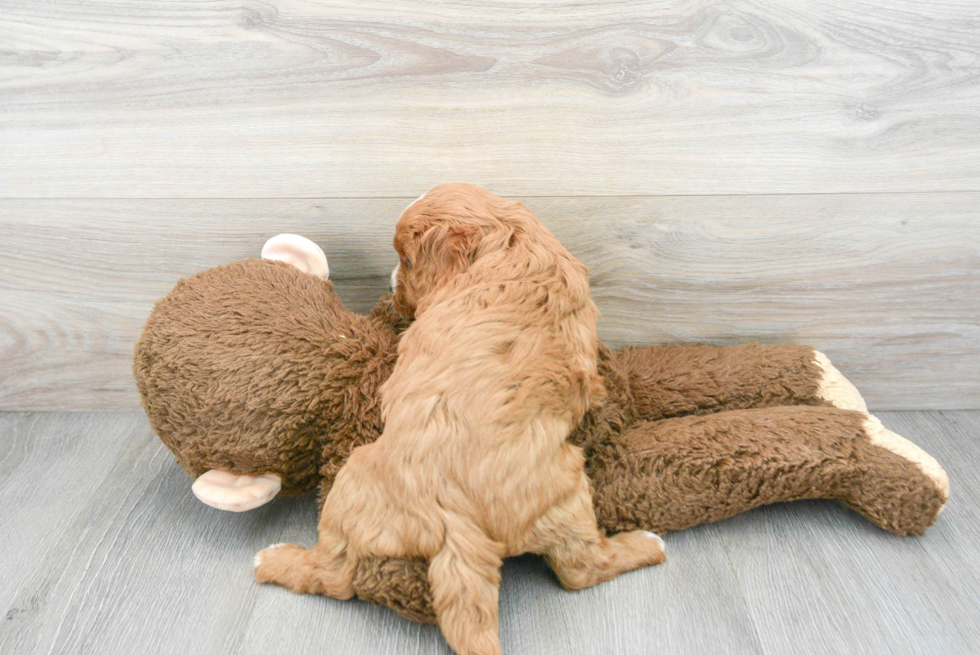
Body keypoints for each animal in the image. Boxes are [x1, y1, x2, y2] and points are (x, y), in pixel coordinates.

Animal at [253, 184, 668, 655]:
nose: (391, 284)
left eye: (407, 261)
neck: (514, 243)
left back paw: (272, 559)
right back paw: (648, 543)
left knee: (336, 574)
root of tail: (459, 522)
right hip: (569, 498)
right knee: (580, 570)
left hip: (351, 480)